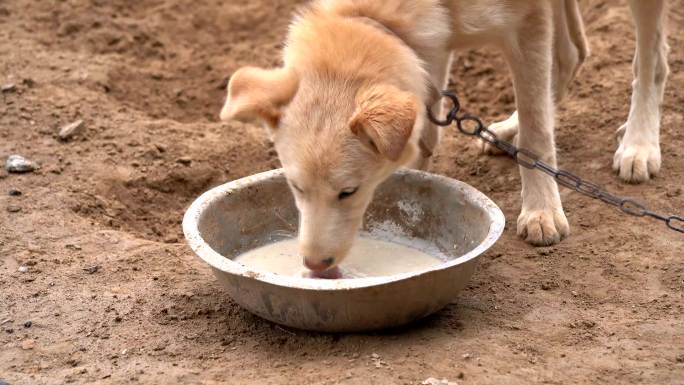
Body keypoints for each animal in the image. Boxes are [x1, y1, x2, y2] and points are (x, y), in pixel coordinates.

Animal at [222, 0, 672, 272]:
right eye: (296, 189)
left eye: (348, 192)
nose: (314, 267)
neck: (377, 17)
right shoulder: (430, 50)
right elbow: (425, 138)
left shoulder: (526, 21)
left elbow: (537, 130)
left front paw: (542, 211)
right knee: (573, 55)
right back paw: (505, 129)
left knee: (651, 63)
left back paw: (638, 143)